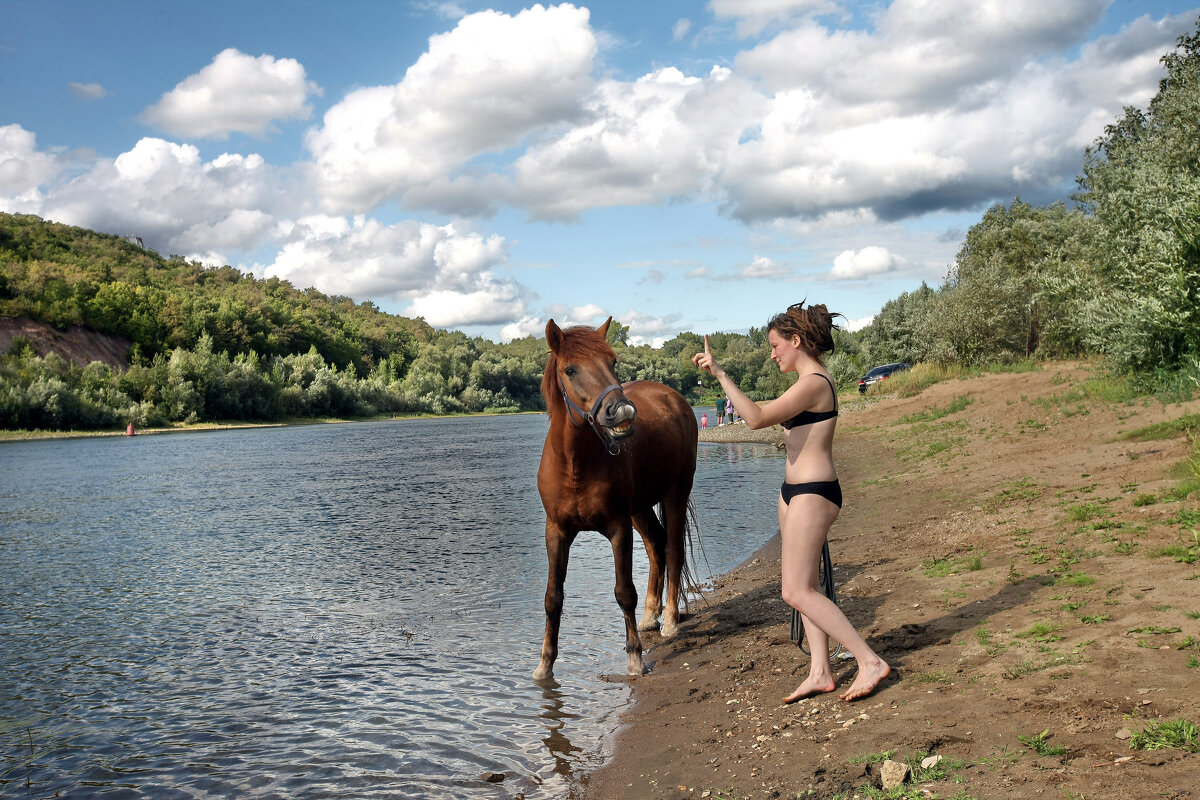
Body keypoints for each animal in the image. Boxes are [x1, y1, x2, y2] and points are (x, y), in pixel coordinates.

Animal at [532, 316, 700, 681]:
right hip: (640, 509)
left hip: (676, 492)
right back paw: (650, 616)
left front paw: (635, 658)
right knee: (656, 545)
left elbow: (624, 592)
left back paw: (669, 621)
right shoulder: (556, 532)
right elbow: (553, 598)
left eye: (612, 362)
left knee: (673, 548)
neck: (575, 466)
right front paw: (544, 664)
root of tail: (673, 397)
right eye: (570, 370)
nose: (621, 411)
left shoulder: (618, 529)